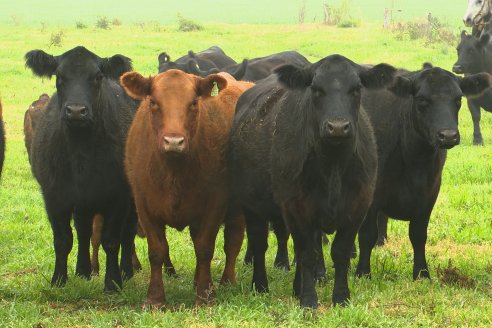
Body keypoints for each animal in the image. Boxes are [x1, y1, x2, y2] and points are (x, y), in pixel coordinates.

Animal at [26, 44, 139, 290]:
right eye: (59, 76)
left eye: (97, 77)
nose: (76, 111)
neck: (81, 152)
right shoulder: (54, 196)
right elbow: (63, 239)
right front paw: (59, 279)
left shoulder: (118, 196)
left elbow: (111, 240)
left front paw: (113, 283)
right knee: (83, 231)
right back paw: (83, 270)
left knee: (128, 233)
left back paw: (126, 271)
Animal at [118, 70, 250, 308]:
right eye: (153, 102)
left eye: (193, 103)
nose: (173, 141)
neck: (174, 173)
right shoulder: (144, 206)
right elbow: (157, 251)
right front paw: (155, 298)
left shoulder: (215, 205)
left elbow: (205, 248)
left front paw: (205, 295)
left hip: (237, 210)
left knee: (232, 242)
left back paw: (227, 281)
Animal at [358, 66, 492, 280]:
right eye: (421, 99)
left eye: (458, 99)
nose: (448, 135)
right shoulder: (371, 193)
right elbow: (366, 235)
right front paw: (363, 273)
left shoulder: (430, 193)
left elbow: (419, 235)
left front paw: (421, 273)